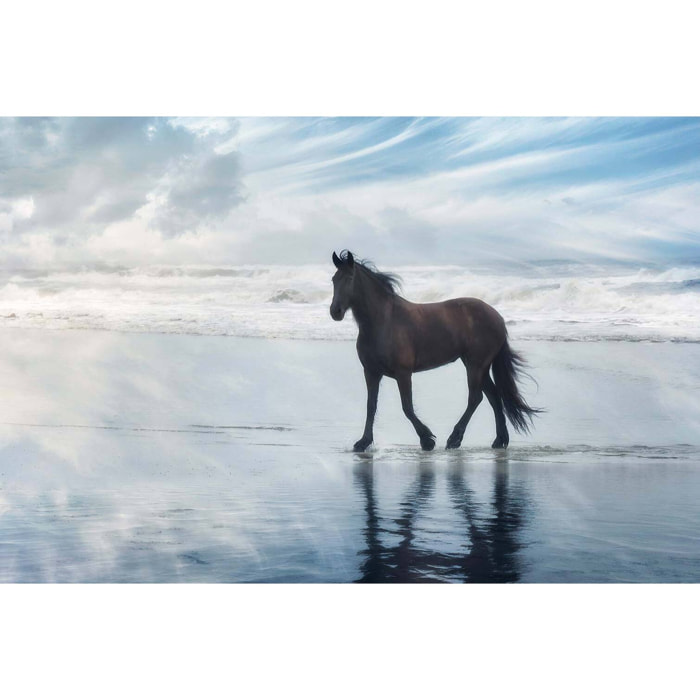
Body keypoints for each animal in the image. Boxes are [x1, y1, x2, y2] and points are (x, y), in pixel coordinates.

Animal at [330, 250, 541, 452]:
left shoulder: (403, 373)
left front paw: (427, 440)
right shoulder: (371, 372)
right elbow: (371, 406)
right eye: (333, 279)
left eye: (349, 278)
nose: (335, 312)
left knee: (476, 398)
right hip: (478, 366)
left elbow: (407, 407)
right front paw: (363, 442)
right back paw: (499, 440)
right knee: (494, 397)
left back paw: (454, 439)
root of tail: (498, 317)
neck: (383, 321)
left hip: (476, 365)